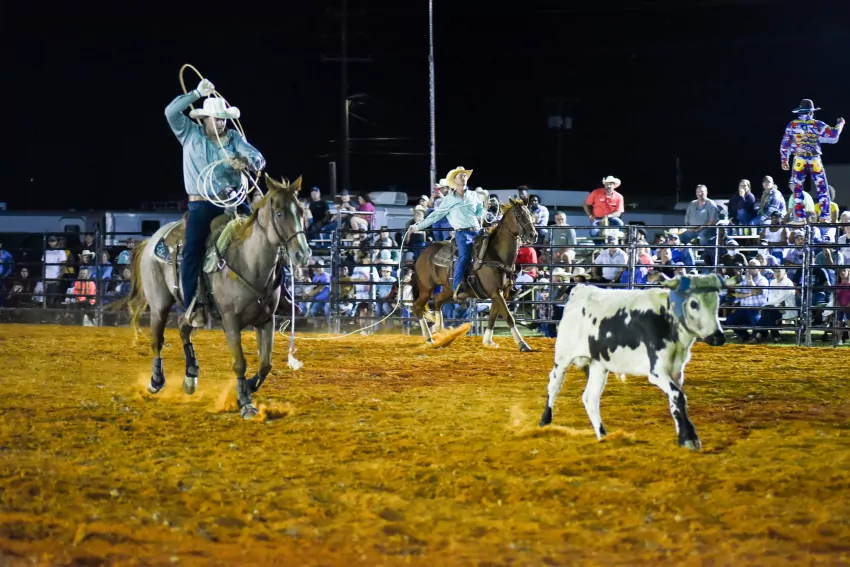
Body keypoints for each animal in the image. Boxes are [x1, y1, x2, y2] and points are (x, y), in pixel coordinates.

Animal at [123, 175, 311, 419]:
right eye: (279, 213)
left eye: (301, 211)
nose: (302, 254)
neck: (248, 262)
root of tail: (150, 241)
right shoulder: (230, 320)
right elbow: (239, 362)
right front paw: (246, 404)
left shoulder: (266, 320)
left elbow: (265, 363)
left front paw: (249, 388)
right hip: (159, 304)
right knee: (157, 338)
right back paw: (156, 381)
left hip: (192, 310)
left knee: (183, 327)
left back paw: (190, 376)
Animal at [410, 198, 539, 350]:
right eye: (519, 215)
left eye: (530, 214)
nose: (533, 235)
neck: (495, 255)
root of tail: (422, 253)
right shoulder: (496, 292)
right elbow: (509, 317)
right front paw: (522, 344)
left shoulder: (501, 293)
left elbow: (492, 317)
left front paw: (488, 341)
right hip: (426, 287)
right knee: (418, 306)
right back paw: (429, 338)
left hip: (448, 289)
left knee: (437, 300)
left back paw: (437, 328)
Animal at [538, 274, 729, 450]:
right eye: (693, 304)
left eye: (717, 301)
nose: (718, 337)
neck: (667, 319)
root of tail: (581, 289)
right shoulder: (657, 371)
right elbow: (678, 396)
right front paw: (689, 438)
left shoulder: (676, 371)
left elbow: (676, 400)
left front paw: (684, 437)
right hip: (563, 357)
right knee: (554, 384)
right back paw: (545, 421)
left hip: (599, 364)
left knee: (590, 398)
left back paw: (603, 435)